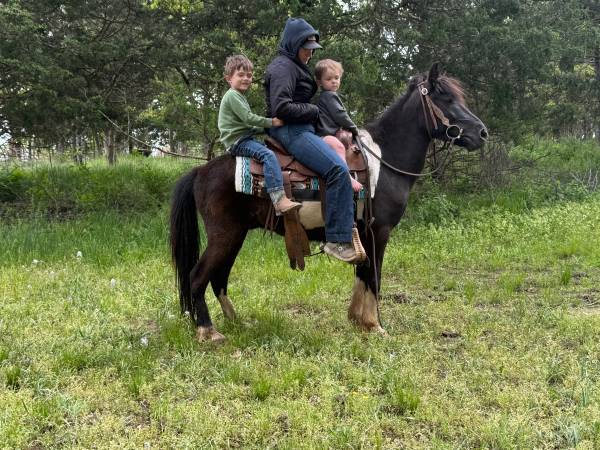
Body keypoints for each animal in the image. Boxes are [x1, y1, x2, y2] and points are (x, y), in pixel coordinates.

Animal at [169, 63, 488, 342]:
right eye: (446, 98)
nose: (482, 133)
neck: (384, 161)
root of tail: (201, 170)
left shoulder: (364, 232)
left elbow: (362, 274)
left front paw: (359, 320)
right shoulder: (379, 231)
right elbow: (374, 276)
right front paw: (376, 325)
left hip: (235, 235)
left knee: (218, 277)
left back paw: (236, 322)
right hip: (224, 234)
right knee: (197, 276)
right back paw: (208, 331)